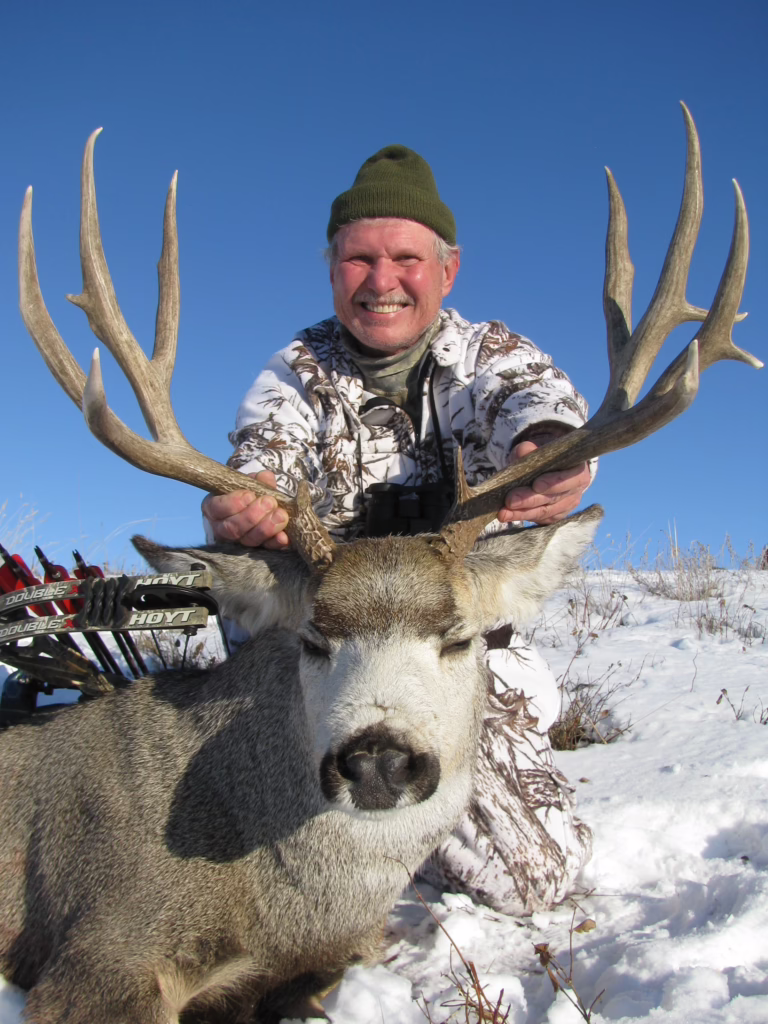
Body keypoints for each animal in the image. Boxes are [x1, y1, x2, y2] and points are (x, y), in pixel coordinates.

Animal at [1, 104, 760, 1023]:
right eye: (312, 640)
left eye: (462, 637)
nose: (377, 759)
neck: (286, 898)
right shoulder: (100, 947)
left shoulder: (336, 948)